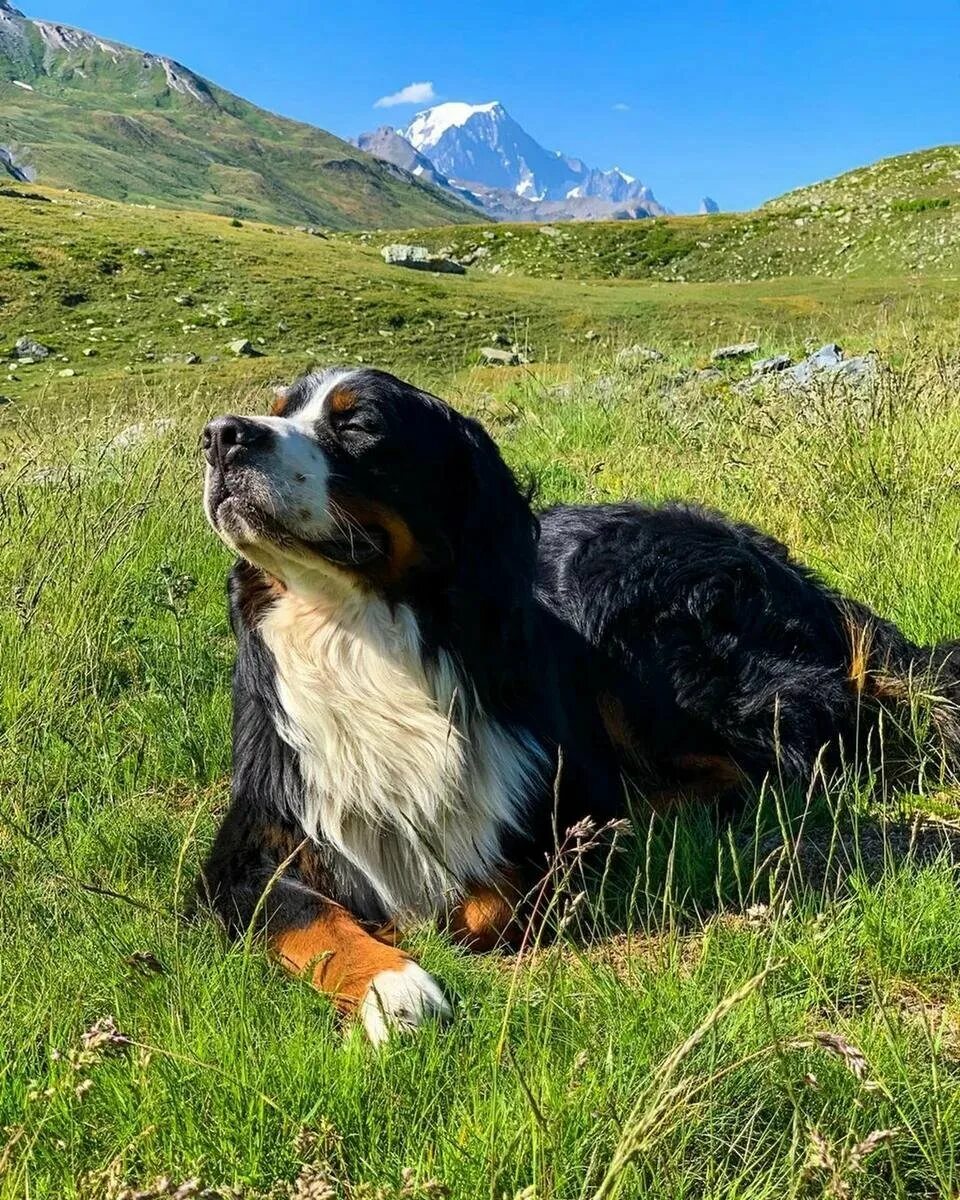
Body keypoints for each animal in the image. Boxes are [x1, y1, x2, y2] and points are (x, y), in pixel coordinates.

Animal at [199, 362, 955, 1041]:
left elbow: (489, 902)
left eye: (357, 424)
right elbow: (307, 914)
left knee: (778, 761)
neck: (360, 640)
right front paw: (394, 983)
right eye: (277, 408)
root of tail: (779, 561)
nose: (221, 436)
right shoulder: (249, 845)